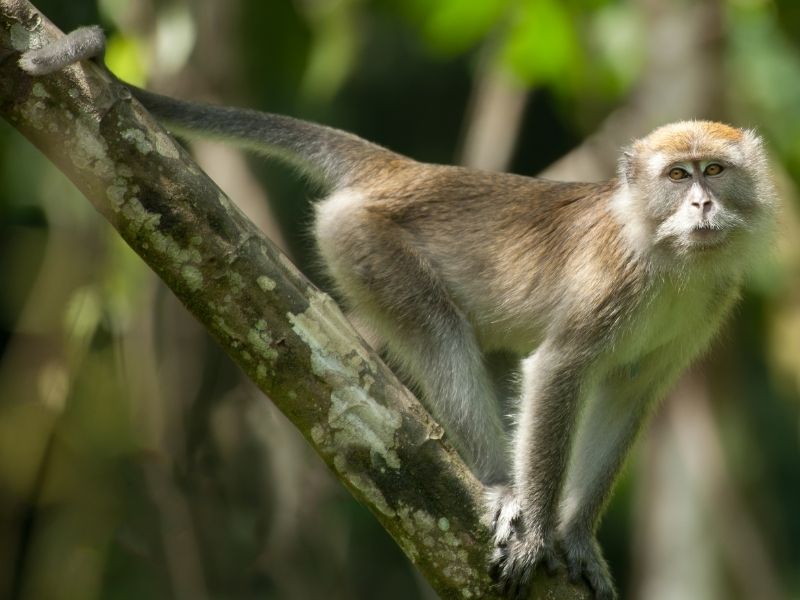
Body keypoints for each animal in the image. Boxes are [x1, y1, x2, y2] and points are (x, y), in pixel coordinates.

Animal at [18, 26, 777, 600]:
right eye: (677, 176)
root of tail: (407, 171)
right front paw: (537, 529)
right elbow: (559, 370)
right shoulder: (614, 282)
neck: (670, 258)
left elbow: (628, 391)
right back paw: (499, 486)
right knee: (440, 334)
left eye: (715, 171)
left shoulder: (707, 306)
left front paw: (575, 537)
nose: (702, 205)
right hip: (363, 242)